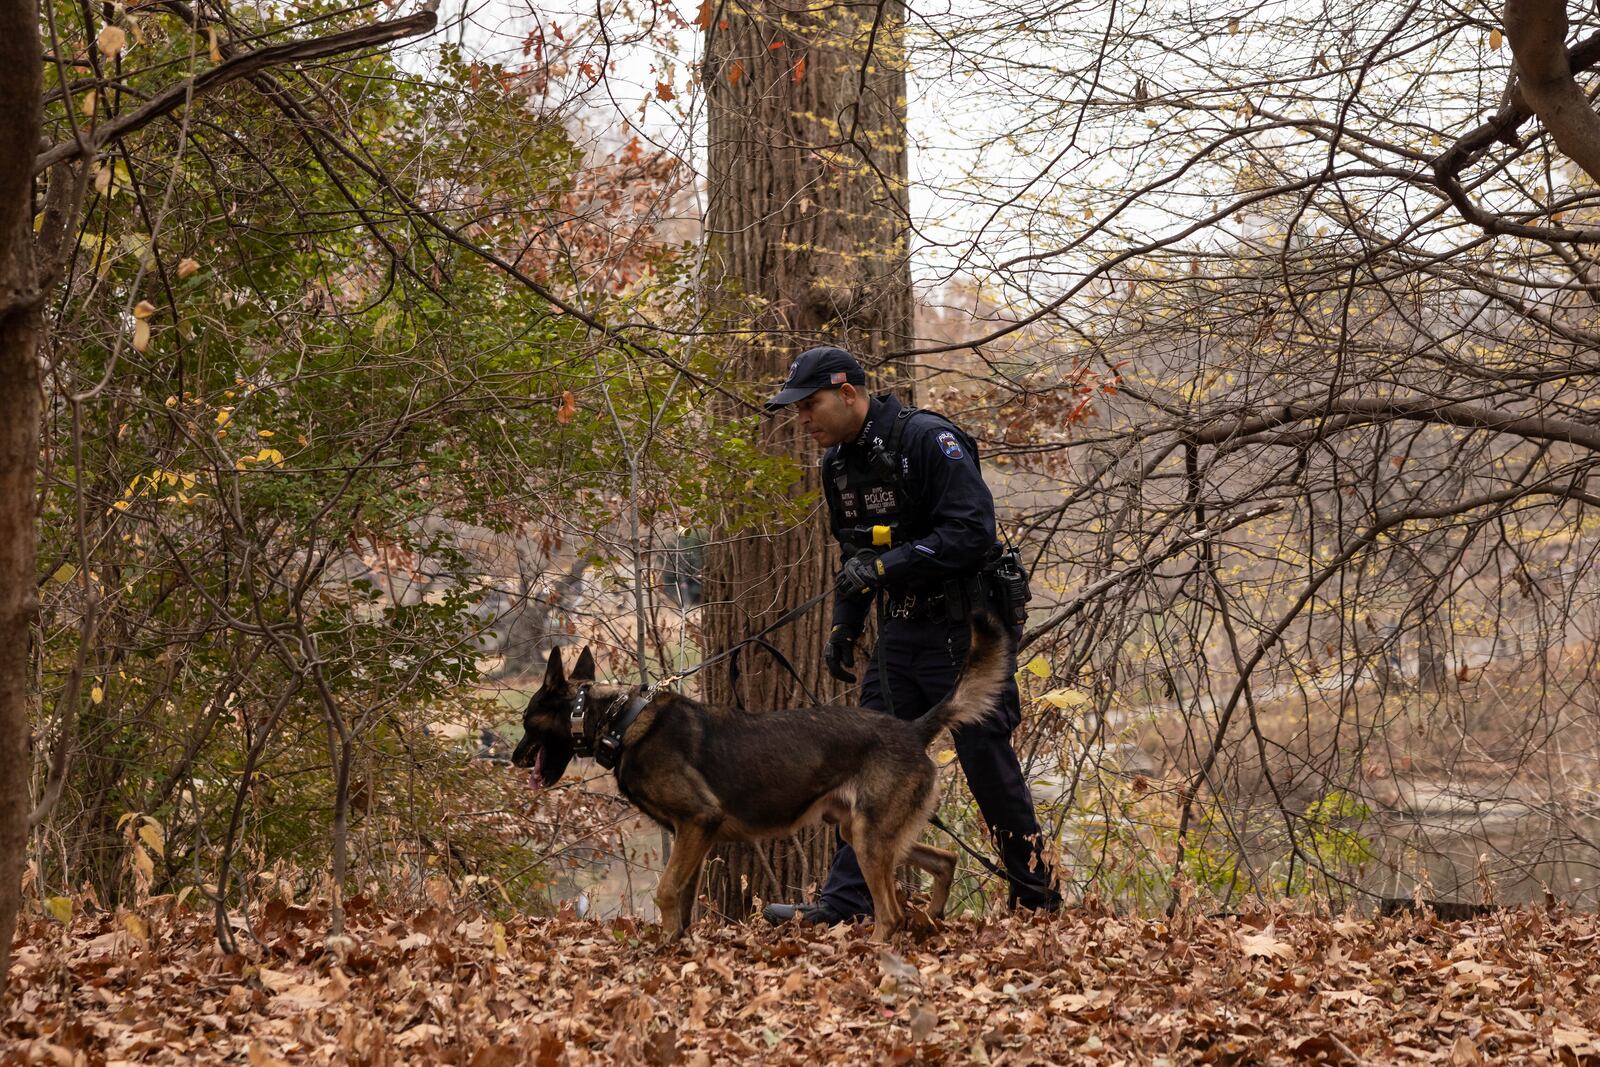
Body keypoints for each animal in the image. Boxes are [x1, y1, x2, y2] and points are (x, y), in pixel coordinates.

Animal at [515, 614, 1011, 940]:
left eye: (524, 722)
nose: (516, 760)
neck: (621, 721)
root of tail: (913, 729)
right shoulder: (693, 835)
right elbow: (685, 899)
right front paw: (678, 946)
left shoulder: (699, 820)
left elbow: (667, 891)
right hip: (859, 832)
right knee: (944, 860)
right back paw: (932, 919)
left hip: (868, 839)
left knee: (890, 914)